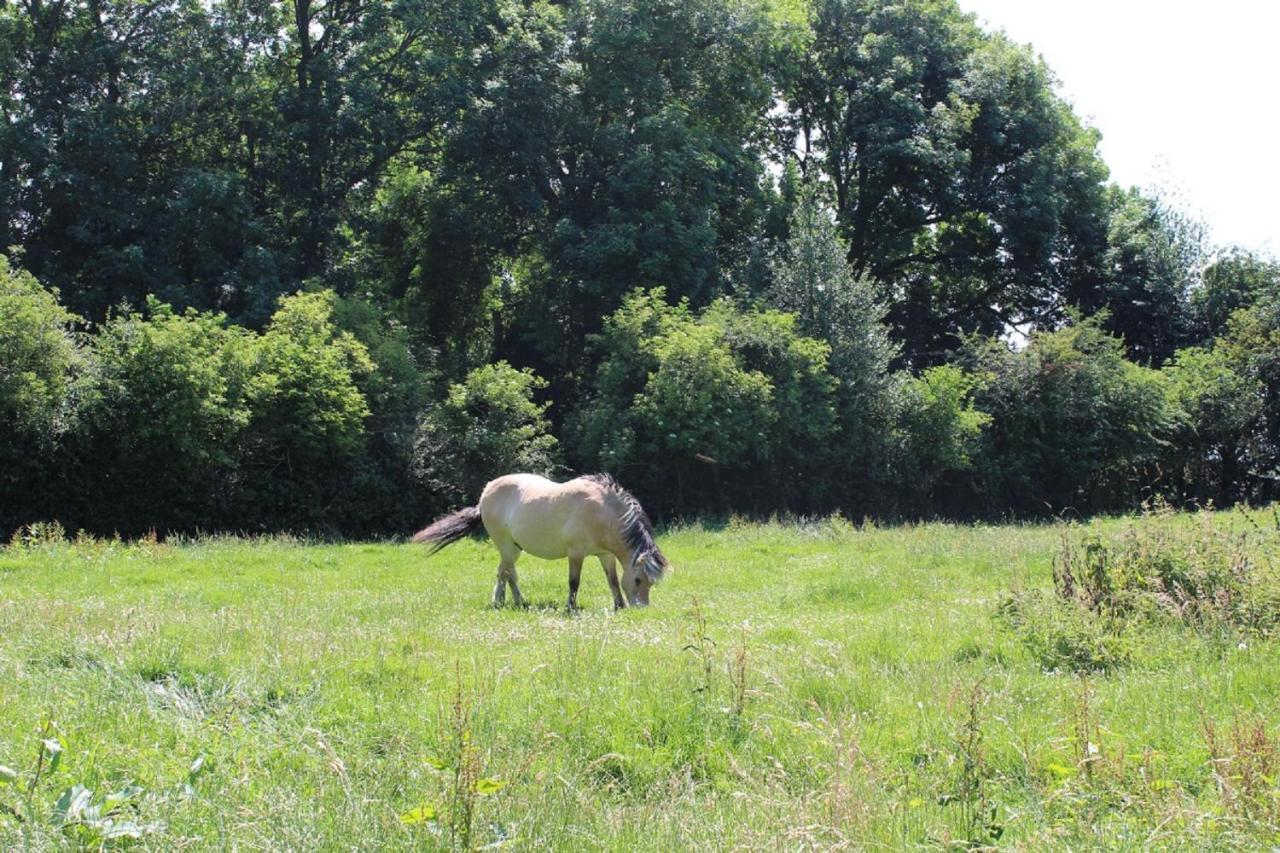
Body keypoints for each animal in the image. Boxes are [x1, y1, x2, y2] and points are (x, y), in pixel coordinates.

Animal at [412, 468, 675, 607]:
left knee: (504, 572)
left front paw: (618, 606)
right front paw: (571, 608)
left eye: (651, 582)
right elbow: (574, 582)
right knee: (507, 572)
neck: (601, 511)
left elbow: (611, 580)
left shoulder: (604, 554)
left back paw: (510, 601)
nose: (641, 608)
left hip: (513, 548)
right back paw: (508, 602)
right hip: (506, 545)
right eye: (639, 580)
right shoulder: (576, 554)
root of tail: (486, 493)